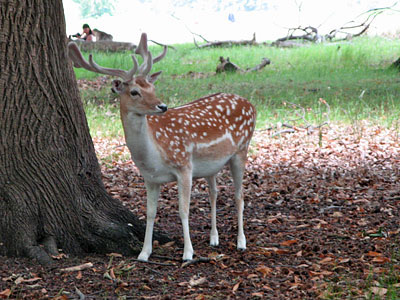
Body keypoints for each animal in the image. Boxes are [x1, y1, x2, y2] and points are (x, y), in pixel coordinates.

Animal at [68, 34, 256, 262]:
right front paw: (144, 253)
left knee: (239, 195)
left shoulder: (184, 166)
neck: (151, 156)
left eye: (153, 89)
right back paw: (214, 238)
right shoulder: (150, 178)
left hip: (242, 149)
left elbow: (183, 210)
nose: (162, 106)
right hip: (211, 166)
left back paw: (241, 242)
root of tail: (251, 105)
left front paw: (188, 253)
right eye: (134, 92)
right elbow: (150, 213)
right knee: (214, 192)